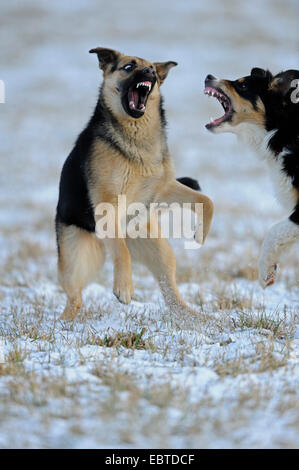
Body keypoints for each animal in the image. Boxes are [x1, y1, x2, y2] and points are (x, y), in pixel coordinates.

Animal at [56, 47, 214, 320]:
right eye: (128, 67)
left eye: (153, 69)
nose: (149, 71)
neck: (137, 138)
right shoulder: (108, 204)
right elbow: (121, 251)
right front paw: (124, 289)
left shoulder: (162, 189)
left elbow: (206, 200)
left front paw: (200, 234)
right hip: (75, 258)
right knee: (74, 296)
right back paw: (62, 323)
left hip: (160, 250)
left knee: (169, 289)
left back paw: (192, 316)